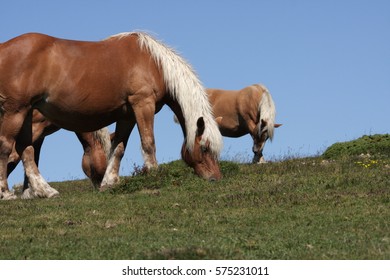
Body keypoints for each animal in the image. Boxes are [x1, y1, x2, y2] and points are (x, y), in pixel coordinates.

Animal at [0, 32, 222, 199]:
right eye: (204, 147)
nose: (215, 178)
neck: (154, 64)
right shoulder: (143, 104)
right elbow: (148, 142)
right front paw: (154, 175)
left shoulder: (127, 115)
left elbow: (118, 149)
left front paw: (110, 182)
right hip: (16, 111)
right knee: (6, 146)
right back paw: (6, 192)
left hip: (27, 113)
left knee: (25, 149)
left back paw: (44, 190)